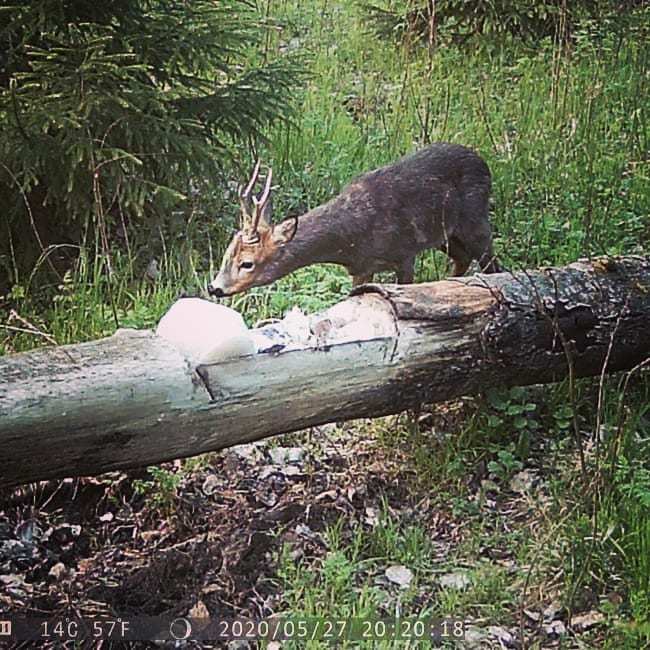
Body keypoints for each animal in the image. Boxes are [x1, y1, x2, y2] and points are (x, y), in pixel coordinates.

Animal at [206, 143, 496, 298]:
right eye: (226, 255)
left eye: (247, 263)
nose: (214, 287)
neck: (351, 238)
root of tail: (484, 163)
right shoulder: (361, 268)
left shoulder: (404, 254)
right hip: (447, 235)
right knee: (462, 258)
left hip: (475, 219)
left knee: (491, 264)